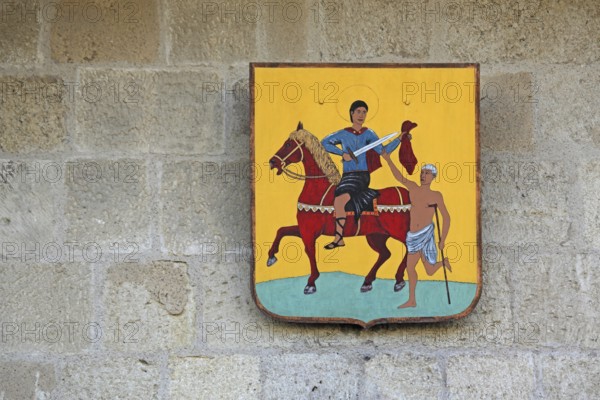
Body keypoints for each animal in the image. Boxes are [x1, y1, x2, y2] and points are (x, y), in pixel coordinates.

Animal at [268, 123, 414, 296]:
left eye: (288, 144)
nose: (272, 162)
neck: (318, 188)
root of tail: (408, 194)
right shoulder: (304, 228)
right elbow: (282, 230)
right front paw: (271, 257)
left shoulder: (309, 231)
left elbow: (309, 251)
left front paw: (311, 283)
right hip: (376, 235)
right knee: (385, 254)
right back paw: (368, 282)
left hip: (397, 231)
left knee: (409, 249)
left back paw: (398, 280)